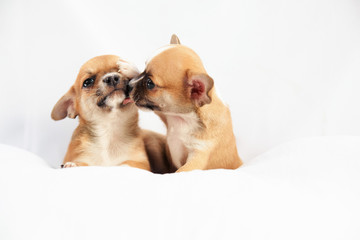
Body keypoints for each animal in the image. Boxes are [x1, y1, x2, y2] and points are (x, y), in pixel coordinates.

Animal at [129, 34, 242, 172]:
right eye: (142, 70)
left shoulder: (199, 154)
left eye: (150, 83)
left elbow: (181, 171)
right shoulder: (167, 115)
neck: (183, 119)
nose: (128, 84)